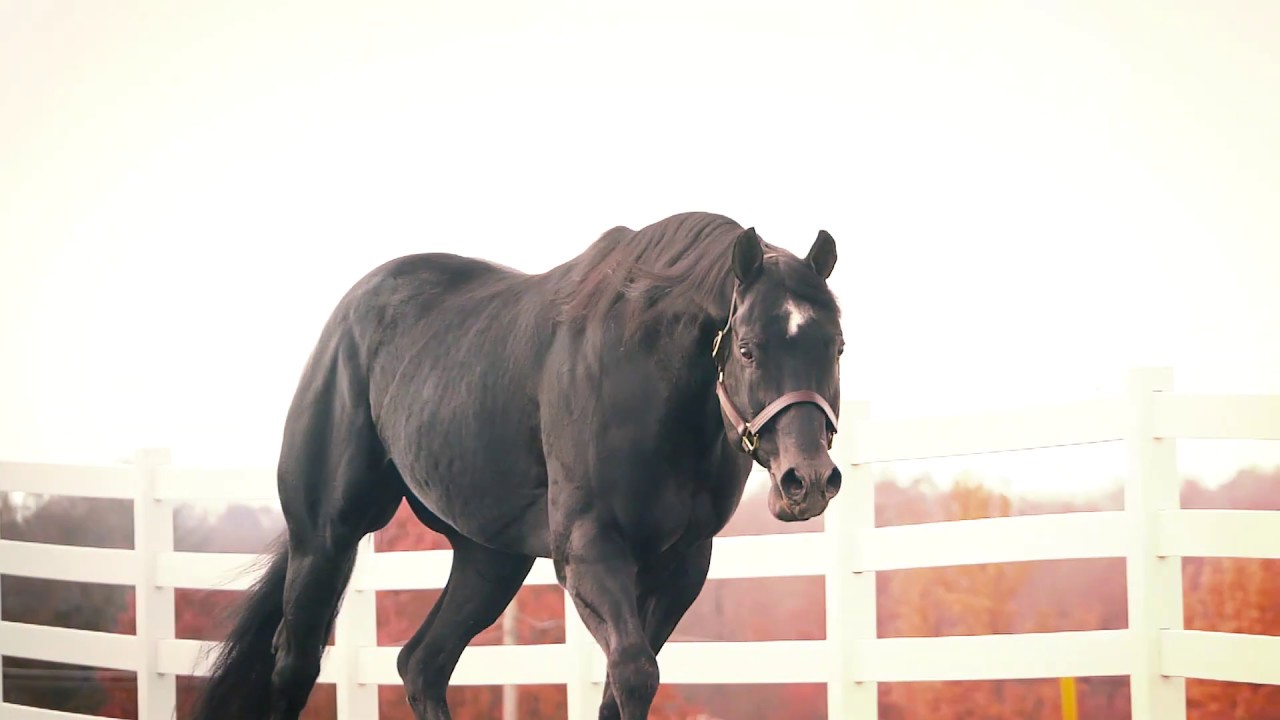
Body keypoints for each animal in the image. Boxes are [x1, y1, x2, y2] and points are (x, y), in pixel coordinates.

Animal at [190, 211, 845, 720]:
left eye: (836, 346)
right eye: (747, 349)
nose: (807, 480)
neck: (643, 373)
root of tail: (349, 316)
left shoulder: (682, 564)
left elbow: (619, 688)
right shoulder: (588, 551)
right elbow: (634, 674)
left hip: (489, 560)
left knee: (421, 665)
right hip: (326, 540)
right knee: (295, 664)